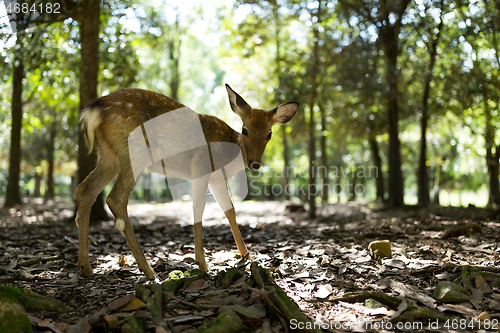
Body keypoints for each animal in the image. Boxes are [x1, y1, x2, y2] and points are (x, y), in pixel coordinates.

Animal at [76, 84, 298, 278]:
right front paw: (202, 264)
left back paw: (86, 267)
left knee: (84, 189)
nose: (255, 164)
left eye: (269, 134)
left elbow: (230, 211)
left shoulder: (218, 179)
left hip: (109, 156)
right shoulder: (201, 166)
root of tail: (92, 111)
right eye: (245, 130)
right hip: (135, 151)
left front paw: (247, 257)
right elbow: (198, 209)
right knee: (115, 198)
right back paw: (149, 271)